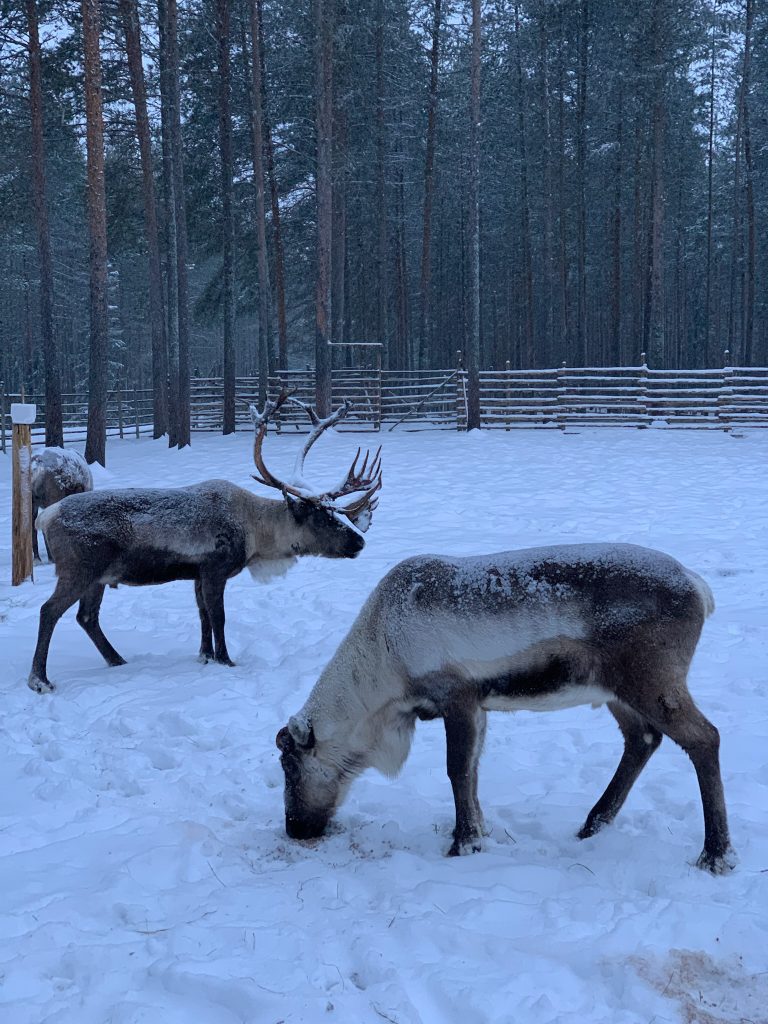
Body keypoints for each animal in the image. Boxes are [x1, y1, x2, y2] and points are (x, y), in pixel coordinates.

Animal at [28, 391, 382, 695]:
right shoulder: (215, 569)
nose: (359, 542)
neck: (255, 533)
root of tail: (45, 518)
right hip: (79, 569)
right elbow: (218, 616)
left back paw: (118, 661)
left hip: (99, 577)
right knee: (49, 611)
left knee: (87, 617)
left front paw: (205, 656)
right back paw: (40, 680)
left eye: (336, 513)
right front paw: (226, 660)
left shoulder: (197, 574)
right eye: (322, 518)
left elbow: (202, 617)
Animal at [276, 543, 735, 874]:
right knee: (643, 739)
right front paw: (481, 832)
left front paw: (463, 844)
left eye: (290, 765)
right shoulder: (479, 707)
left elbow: (457, 770)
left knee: (704, 738)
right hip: (616, 692)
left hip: (652, 682)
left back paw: (716, 854)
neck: (383, 667)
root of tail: (699, 588)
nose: (294, 829)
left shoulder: (457, 697)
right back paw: (593, 824)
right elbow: (474, 771)